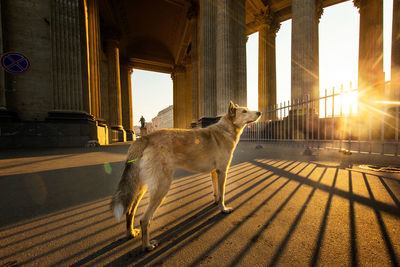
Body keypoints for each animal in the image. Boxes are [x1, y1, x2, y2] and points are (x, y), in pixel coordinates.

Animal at [111, 101, 260, 252]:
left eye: (247, 109)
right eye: (244, 111)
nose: (259, 113)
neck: (226, 129)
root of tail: (144, 138)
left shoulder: (214, 172)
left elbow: (216, 192)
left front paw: (216, 202)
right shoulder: (222, 171)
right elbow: (222, 193)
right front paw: (223, 209)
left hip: (141, 187)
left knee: (130, 211)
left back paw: (131, 233)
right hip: (162, 187)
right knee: (144, 219)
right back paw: (147, 246)